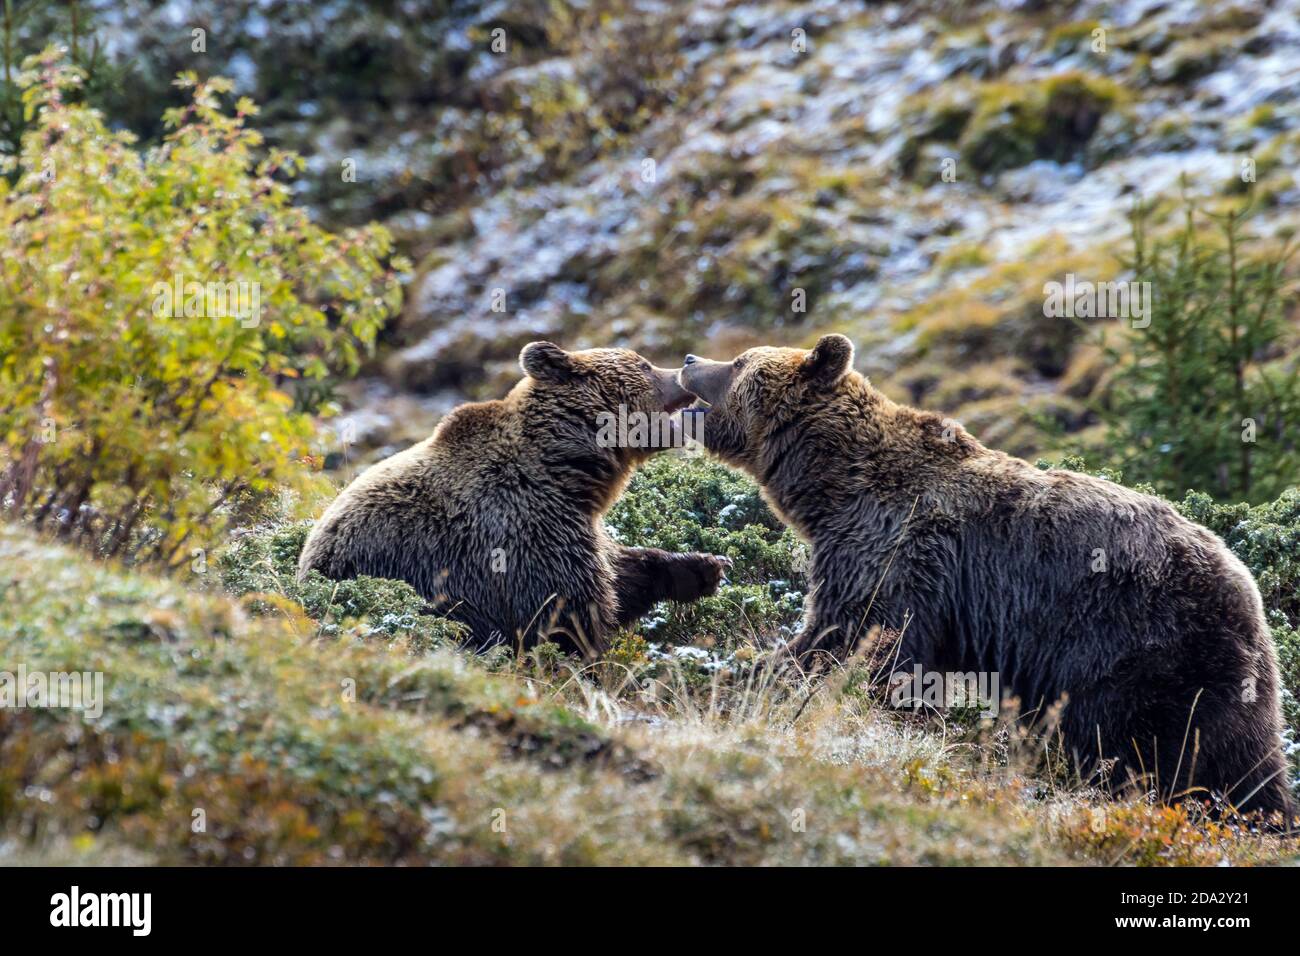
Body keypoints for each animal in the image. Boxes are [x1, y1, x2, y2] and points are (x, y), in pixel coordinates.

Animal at [302, 343, 733, 658]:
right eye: (644, 365)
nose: (680, 369)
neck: (568, 469)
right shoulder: (519, 533)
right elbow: (567, 612)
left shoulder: (577, 523)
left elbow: (620, 573)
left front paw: (703, 566)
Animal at [681, 335, 1289, 816]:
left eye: (738, 360)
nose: (689, 358)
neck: (830, 488)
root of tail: (1251, 591)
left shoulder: (892, 552)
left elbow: (854, 638)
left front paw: (744, 676)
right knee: (1243, 761)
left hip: (1142, 651)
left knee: (1155, 746)